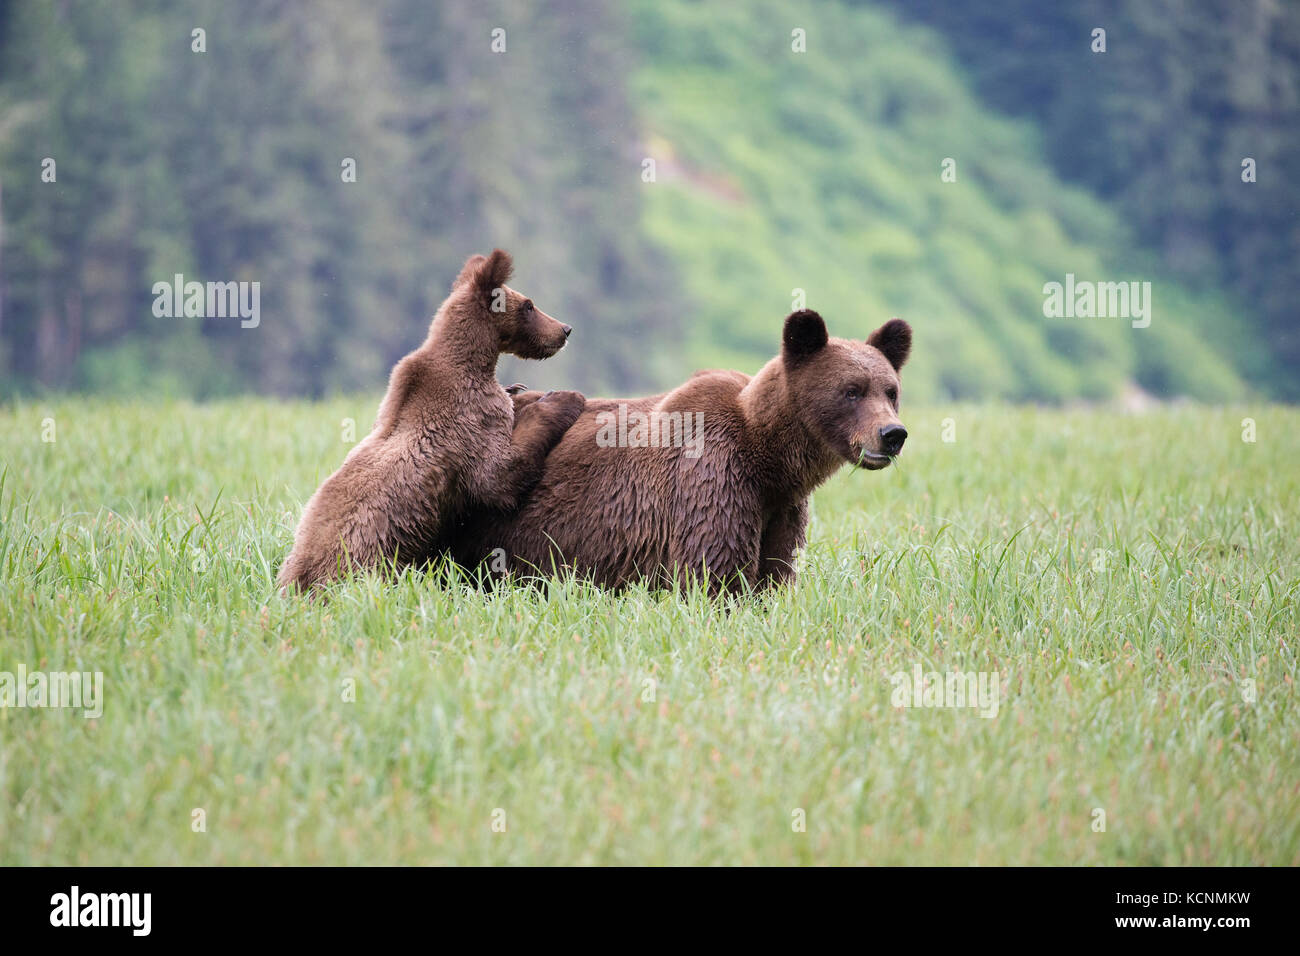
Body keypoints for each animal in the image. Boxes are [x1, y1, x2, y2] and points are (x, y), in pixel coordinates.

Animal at [284, 248, 590, 590]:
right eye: (529, 305)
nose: (564, 330)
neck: (473, 363)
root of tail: (296, 583)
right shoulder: (469, 425)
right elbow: (499, 476)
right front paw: (563, 398)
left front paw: (515, 387)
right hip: (368, 560)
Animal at [447, 310, 915, 595]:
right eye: (851, 391)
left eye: (890, 390)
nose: (891, 434)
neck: (770, 459)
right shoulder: (712, 479)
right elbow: (715, 574)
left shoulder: (779, 508)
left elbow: (775, 574)